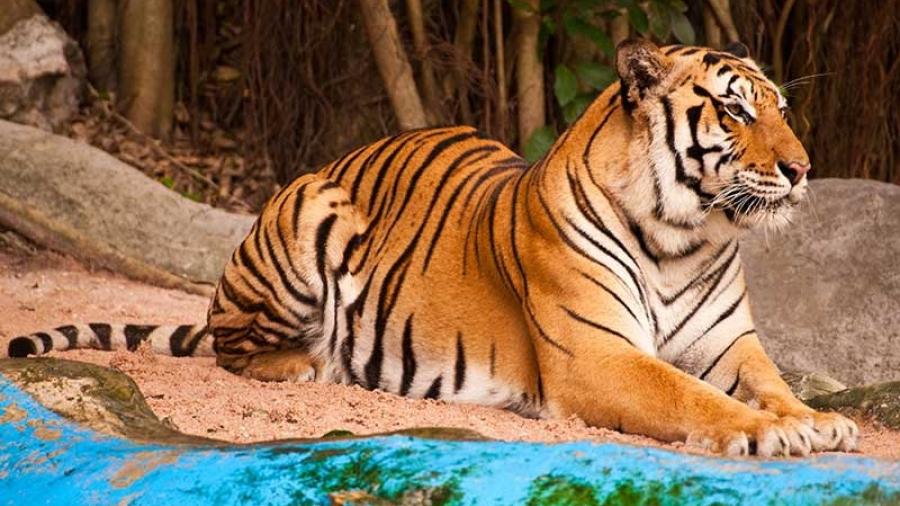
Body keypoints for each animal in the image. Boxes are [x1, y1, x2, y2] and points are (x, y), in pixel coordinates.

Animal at [10, 39, 860, 456]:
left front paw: (819, 420)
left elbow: (769, 384)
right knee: (233, 346)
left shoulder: (731, 345)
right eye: (735, 111)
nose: (802, 169)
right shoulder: (598, 356)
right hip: (304, 215)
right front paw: (771, 432)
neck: (686, 233)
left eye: (782, 110)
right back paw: (312, 363)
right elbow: (690, 397)